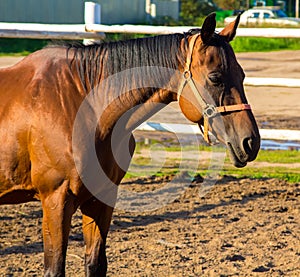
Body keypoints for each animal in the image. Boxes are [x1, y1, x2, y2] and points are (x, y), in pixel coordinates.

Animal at [0, 14, 258, 274]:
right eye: (215, 77)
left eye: (242, 75)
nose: (250, 142)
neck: (82, 106)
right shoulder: (55, 201)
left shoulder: (101, 199)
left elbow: (95, 263)